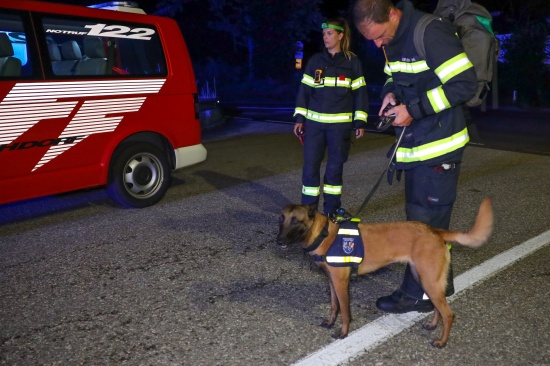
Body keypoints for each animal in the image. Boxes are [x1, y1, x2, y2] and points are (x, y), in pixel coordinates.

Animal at [278, 197, 494, 348]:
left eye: (296, 221)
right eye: (281, 219)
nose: (278, 240)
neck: (324, 234)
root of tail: (434, 230)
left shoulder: (341, 283)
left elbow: (345, 311)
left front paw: (343, 332)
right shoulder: (332, 282)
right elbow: (334, 306)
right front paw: (331, 322)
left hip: (429, 281)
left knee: (448, 314)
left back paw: (441, 341)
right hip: (424, 279)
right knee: (438, 308)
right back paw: (433, 325)